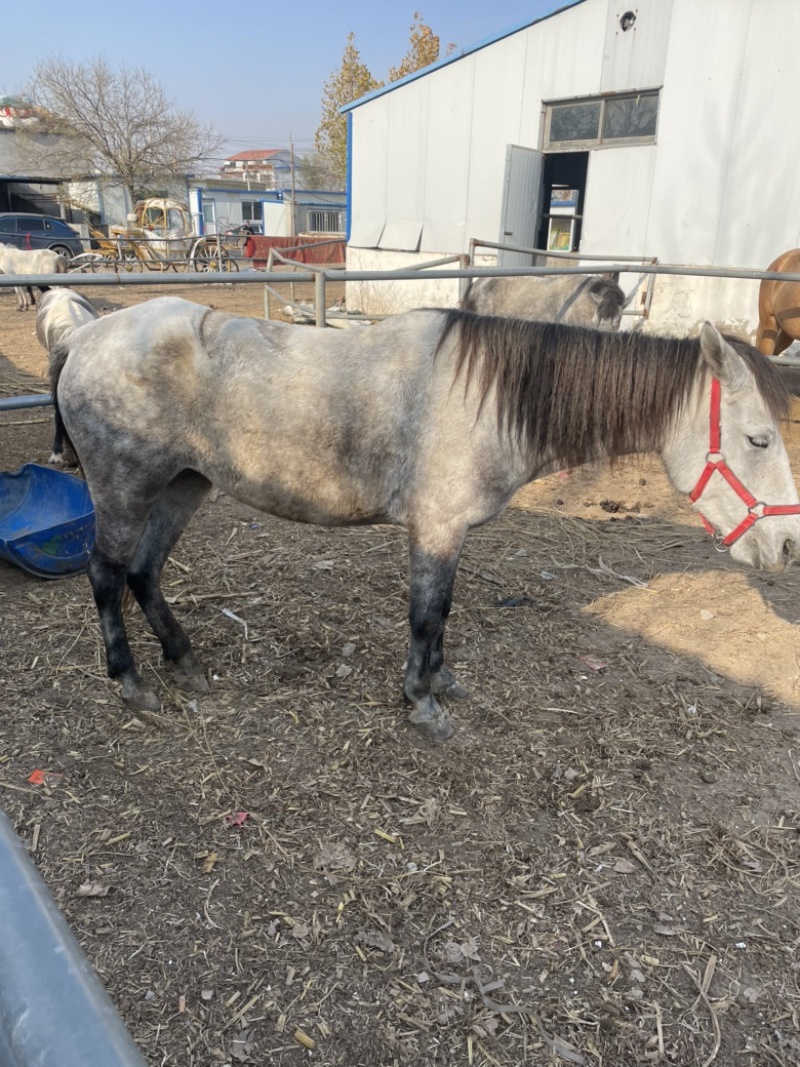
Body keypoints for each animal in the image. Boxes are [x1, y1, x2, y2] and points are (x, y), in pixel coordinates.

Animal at [51, 297, 800, 740]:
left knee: (145, 572)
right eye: (759, 439)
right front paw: (422, 701)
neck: (489, 398)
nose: (788, 545)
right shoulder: (436, 529)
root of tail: (86, 335)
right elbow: (426, 615)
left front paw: (441, 682)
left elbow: (443, 613)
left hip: (183, 485)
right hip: (125, 490)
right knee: (106, 575)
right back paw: (131, 683)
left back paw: (185, 663)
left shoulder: (450, 533)